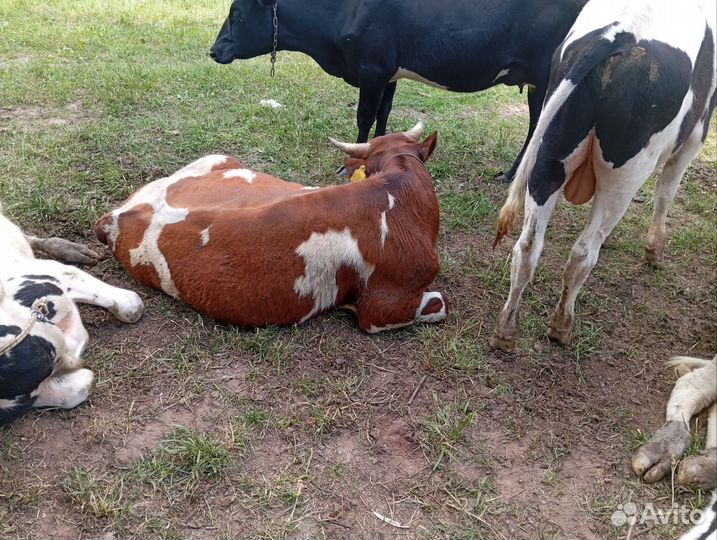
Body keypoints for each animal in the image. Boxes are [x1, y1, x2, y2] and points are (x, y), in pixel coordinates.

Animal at [209, 0, 588, 181]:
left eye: (237, 14)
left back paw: (512, 175)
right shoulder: (389, 74)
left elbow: (364, 117)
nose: (214, 50)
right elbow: (383, 115)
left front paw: (348, 165)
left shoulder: (371, 70)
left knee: (540, 125)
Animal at [488, 0, 716, 352]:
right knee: (583, 252)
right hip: (624, 175)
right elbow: (666, 191)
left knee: (527, 246)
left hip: (549, 155)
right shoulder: (695, 134)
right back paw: (561, 326)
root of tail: (614, 36)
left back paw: (505, 332)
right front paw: (654, 250)